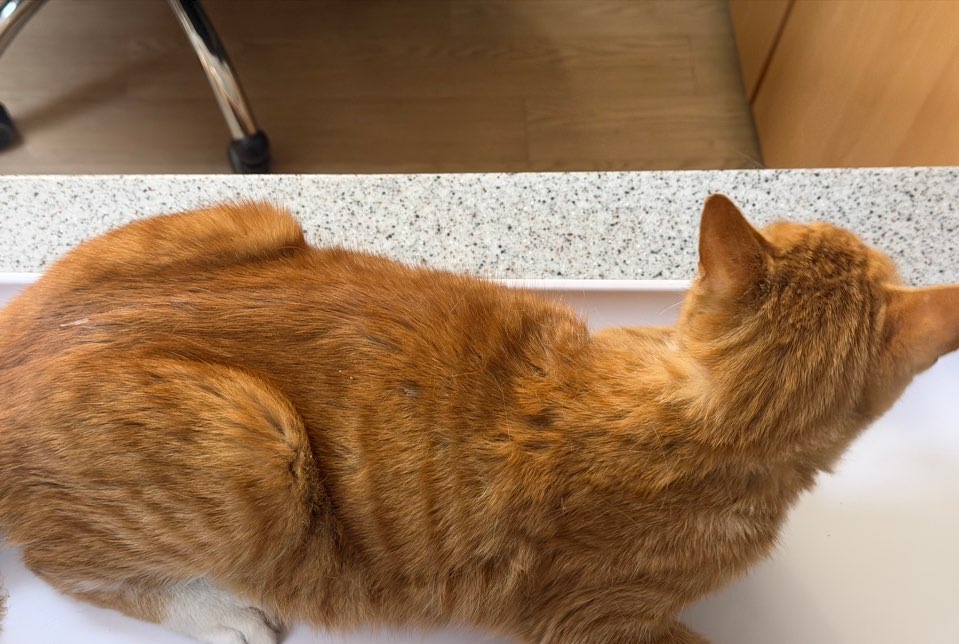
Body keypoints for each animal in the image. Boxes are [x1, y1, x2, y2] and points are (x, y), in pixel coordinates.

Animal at [0, 194, 957, 644]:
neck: (703, 407)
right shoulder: (597, 622)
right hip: (253, 443)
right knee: (63, 564)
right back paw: (220, 613)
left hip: (251, 222)